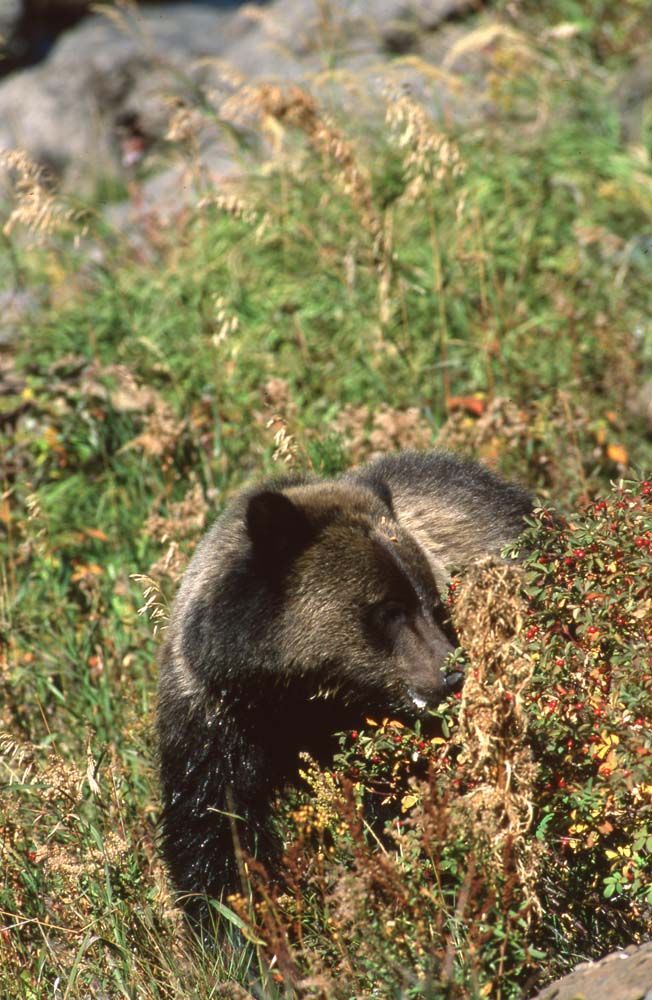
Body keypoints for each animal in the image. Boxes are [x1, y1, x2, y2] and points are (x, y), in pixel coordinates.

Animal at [157, 449, 532, 920]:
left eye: (433, 603)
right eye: (389, 609)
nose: (452, 674)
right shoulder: (215, 714)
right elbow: (213, 822)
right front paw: (234, 919)